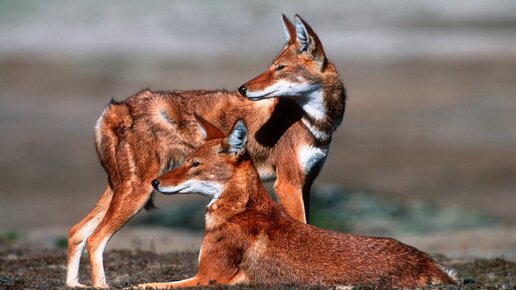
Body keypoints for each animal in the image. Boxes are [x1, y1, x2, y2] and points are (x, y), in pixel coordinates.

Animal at [65, 14, 346, 288]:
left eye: (280, 68)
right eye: (271, 66)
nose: (243, 88)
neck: (314, 123)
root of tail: (114, 109)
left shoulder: (306, 183)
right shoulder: (287, 184)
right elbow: (302, 228)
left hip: (121, 191)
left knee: (76, 232)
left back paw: (74, 284)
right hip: (137, 193)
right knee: (94, 239)